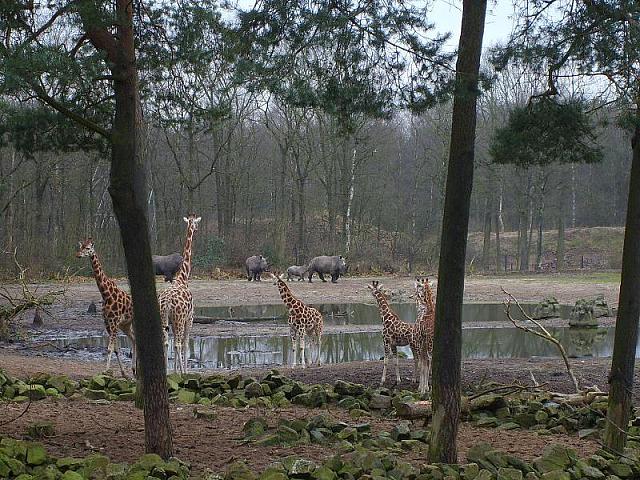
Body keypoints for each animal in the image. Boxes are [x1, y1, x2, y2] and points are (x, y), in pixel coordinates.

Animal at [76, 238, 135, 377]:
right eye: (81, 247)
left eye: (88, 248)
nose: (78, 255)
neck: (106, 294)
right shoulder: (107, 323)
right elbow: (116, 349)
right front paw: (123, 373)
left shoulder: (114, 323)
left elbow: (109, 349)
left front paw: (105, 372)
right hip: (125, 325)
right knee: (134, 339)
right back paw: (134, 369)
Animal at [158, 214, 201, 373]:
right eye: (195, 223)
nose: (197, 228)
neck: (183, 278)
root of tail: (166, 302)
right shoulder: (190, 318)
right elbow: (185, 344)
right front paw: (184, 371)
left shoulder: (172, 321)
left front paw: (175, 371)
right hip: (179, 318)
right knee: (177, 343)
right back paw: (183, 372)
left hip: (164, 318)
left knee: (165, 342)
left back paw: (166, 371)